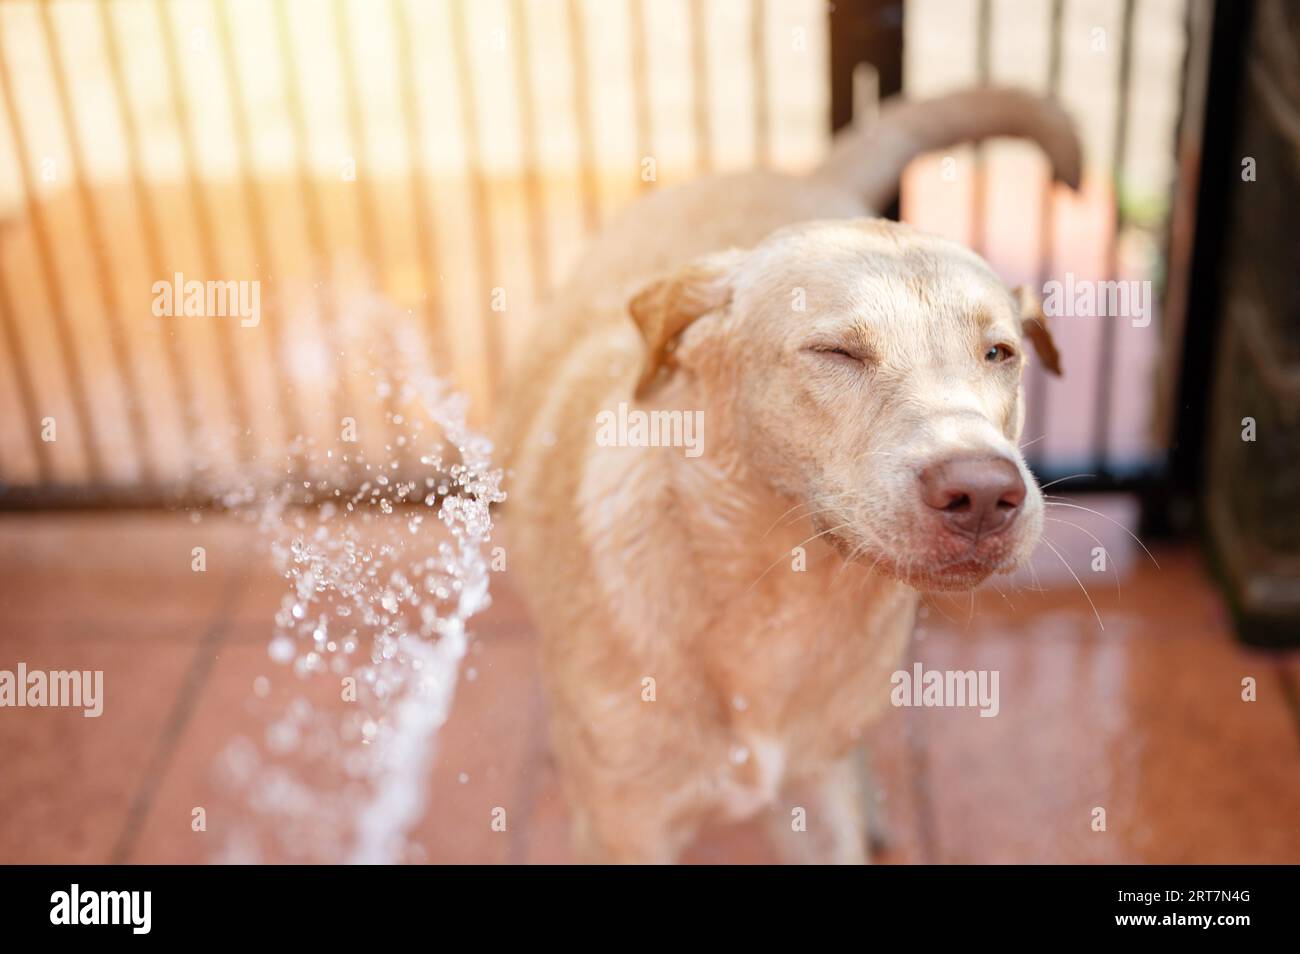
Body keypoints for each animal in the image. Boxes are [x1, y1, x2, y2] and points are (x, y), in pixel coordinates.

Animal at [496, 89, 1076, 868]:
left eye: (999, 353)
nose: (985, 493)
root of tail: (789, 174)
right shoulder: (626, 830)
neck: (783, 593)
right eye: (836, 352)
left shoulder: (815, 804)